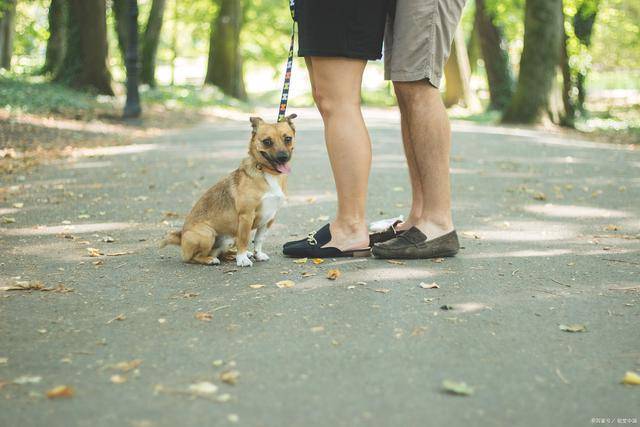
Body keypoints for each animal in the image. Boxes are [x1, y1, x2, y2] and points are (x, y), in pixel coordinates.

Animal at [162, 113, 298, 268]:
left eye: (288, 139)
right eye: (267, 142)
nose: (283, 157)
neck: (267, 172)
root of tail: (181, 237)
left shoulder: (269, 217)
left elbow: (259, 239)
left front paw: (257, 254)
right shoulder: (246, 216)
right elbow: (244, 240)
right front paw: (242, 259)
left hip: (229, 239)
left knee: (222, 253)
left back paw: (237, 255)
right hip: (207, 233)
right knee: (194, 257)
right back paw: (211, 260)